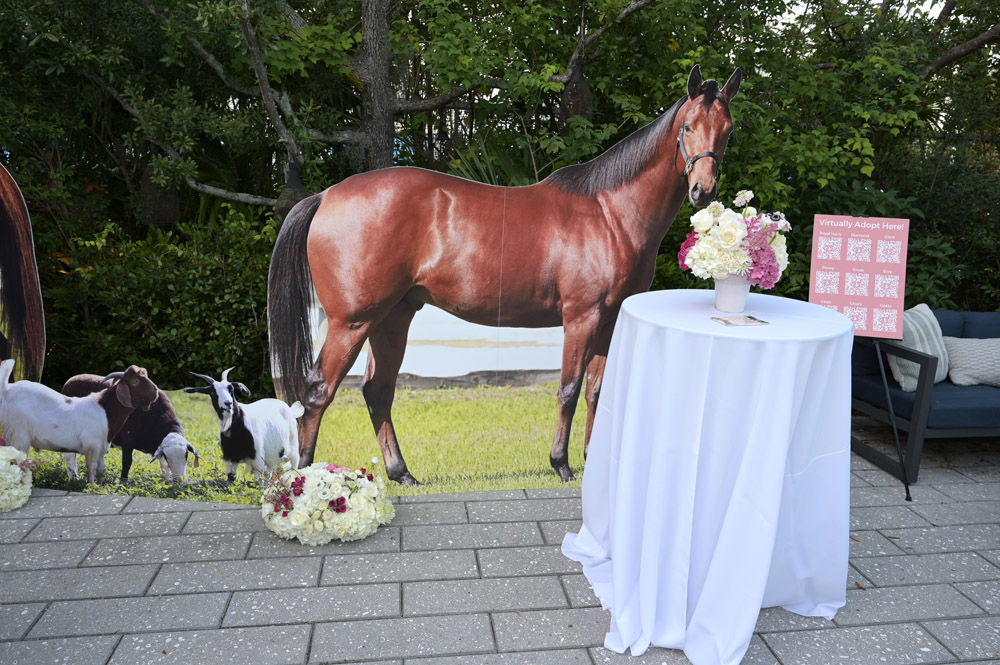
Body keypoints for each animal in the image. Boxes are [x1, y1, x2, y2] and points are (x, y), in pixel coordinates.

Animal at [0, 358, 159, 483]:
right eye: (135, 381)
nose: (156, 391)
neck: (105, 410)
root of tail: (7, 390)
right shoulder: (92, 446)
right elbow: (91, 469)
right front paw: (91, 486)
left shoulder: (102, 448)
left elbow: (101, 469)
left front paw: (100, 486)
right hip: (19, 436)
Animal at [61, 374, 200, 482]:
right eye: (168, 456)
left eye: (186, 455)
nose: (180, 480)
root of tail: (70, 381)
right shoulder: (128, 441)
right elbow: (127, 462)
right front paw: (123, 482)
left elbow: (164, 467)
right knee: (69, 456)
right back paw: (74, 478)